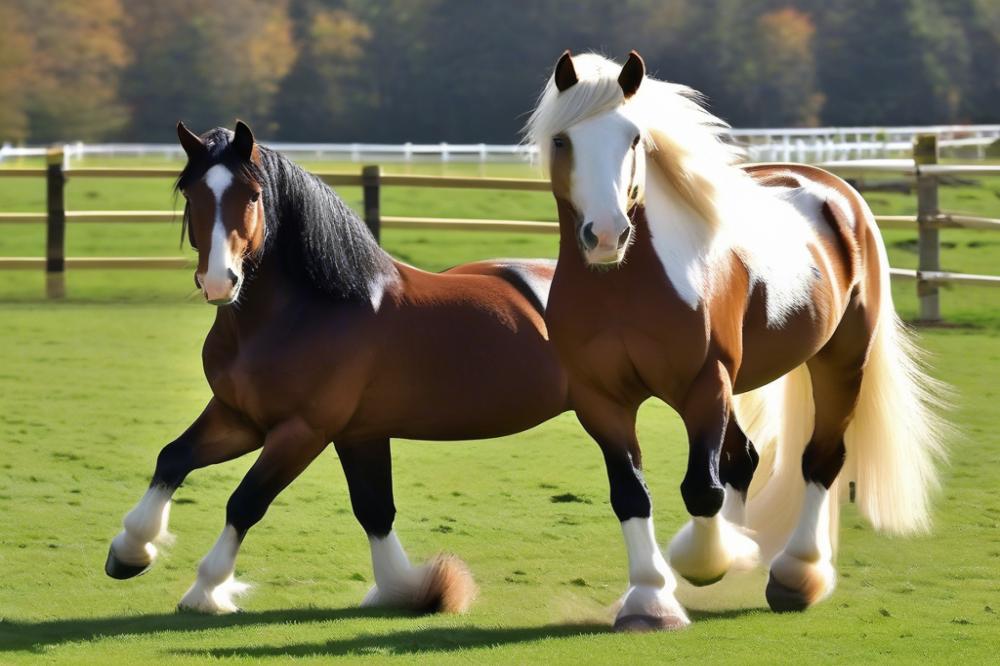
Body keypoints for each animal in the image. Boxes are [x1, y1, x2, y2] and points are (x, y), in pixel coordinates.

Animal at [107, 120, 572, 612]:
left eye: (252, 195)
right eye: (192, 193)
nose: (219, 281)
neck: (306, 311)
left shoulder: (303, 431)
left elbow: (246, 501)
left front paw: (206, 591)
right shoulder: (254, 419)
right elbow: (173, 458)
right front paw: (131, 550)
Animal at [528, 52, 948, 628]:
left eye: (634, 138)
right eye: (562, 140)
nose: (607, 235)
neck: (624, 286)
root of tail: (835, 192)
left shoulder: (705, 384)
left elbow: (701, 489)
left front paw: (706, 563)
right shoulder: (600, 400)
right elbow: (631, 494)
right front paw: (650, 599)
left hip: (841, 361)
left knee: (821, 459)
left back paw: (797, 574)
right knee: (744, 458)